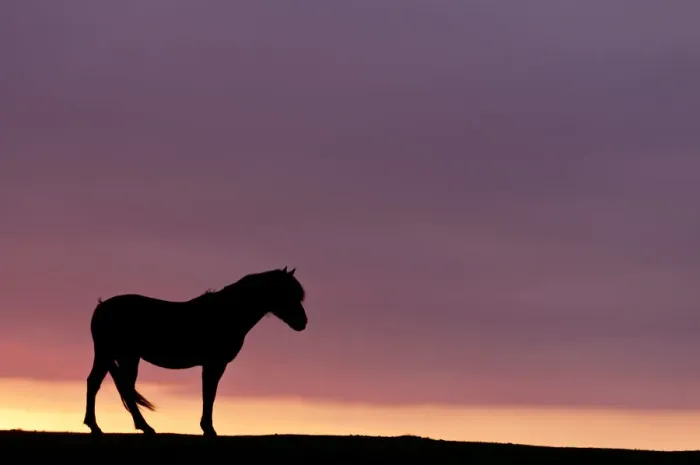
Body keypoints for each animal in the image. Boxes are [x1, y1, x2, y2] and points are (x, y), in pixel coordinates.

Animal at [82, 266, 307, 436]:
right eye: (286, 293)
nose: (303, 323)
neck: (228, 312)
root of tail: (102, 307)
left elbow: (209, 393)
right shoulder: (214, 364)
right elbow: (209, 393)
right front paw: (208, 428)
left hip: (116, 356)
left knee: (103, 384)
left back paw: (100, 426)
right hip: (119, 355)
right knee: (118, 387)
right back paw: (138, 427)